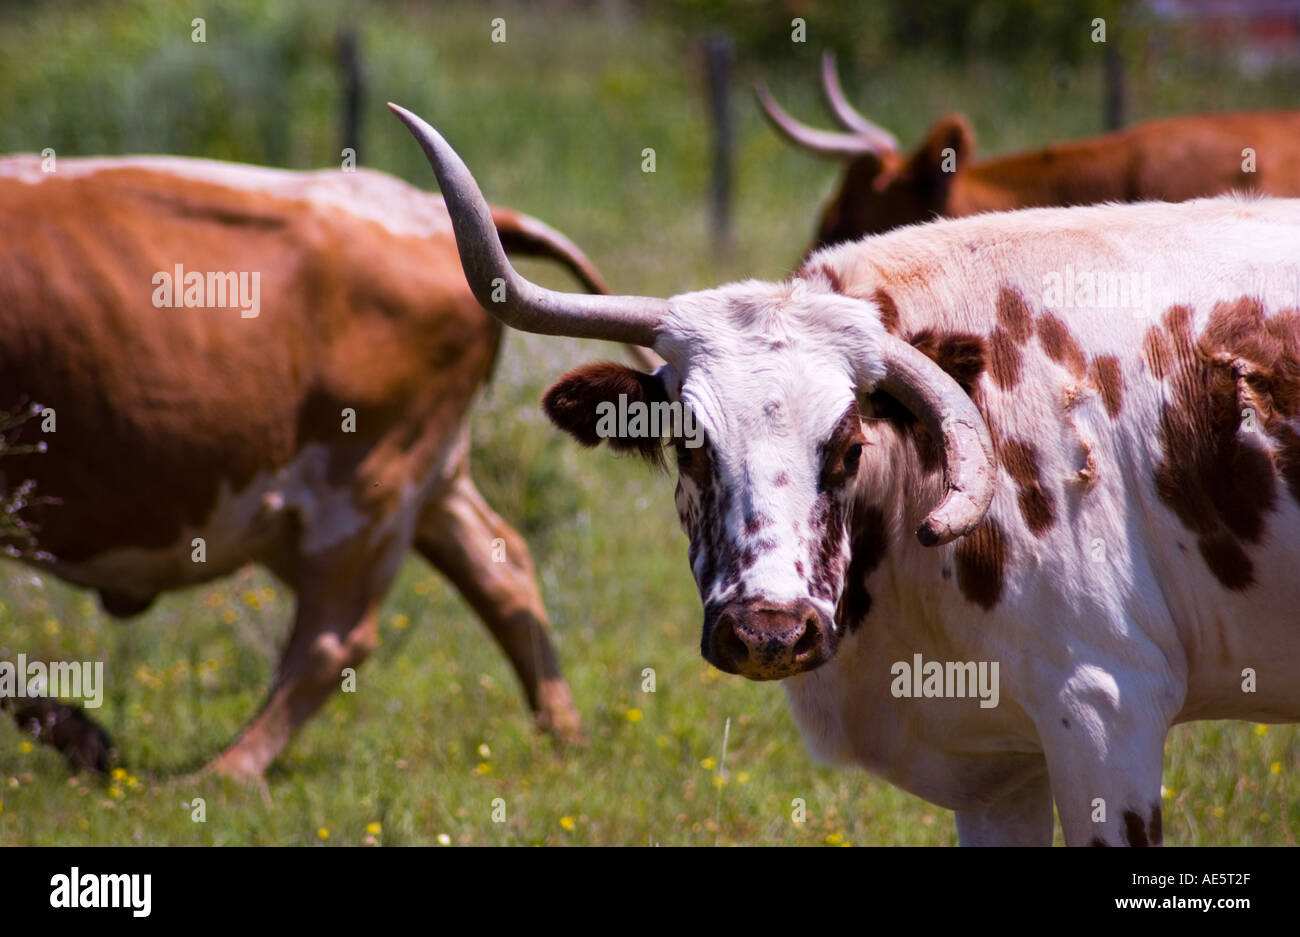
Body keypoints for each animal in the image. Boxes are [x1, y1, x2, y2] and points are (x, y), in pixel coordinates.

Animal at [0, 153, 637, 779]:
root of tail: (428, 210)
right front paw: (75, 732)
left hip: (366, 485)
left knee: (334, 636)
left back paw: (220, 772)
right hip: (428, 481)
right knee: (502, 570)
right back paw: (565, 739)